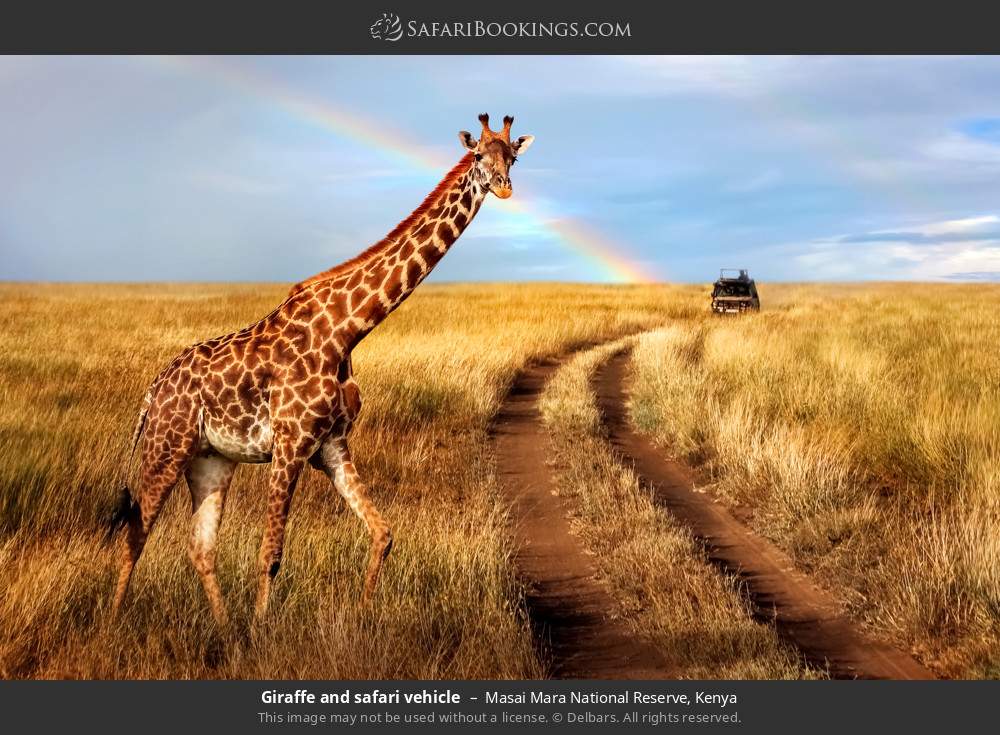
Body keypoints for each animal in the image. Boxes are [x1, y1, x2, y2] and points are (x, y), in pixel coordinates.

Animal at [110, 112, 536, 624]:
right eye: (477, 156)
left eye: (512, 157)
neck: (347, 329)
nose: (504, 188)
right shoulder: (290, 445)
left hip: (211, 459)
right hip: (166, 447)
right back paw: (111, 626)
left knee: (200, 547)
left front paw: (364, 614)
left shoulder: (331, 445)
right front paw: (260, 632)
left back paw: (223, 627)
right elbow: (270, 553)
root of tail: (154, 389)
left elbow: (383, 533)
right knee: (134, 537)